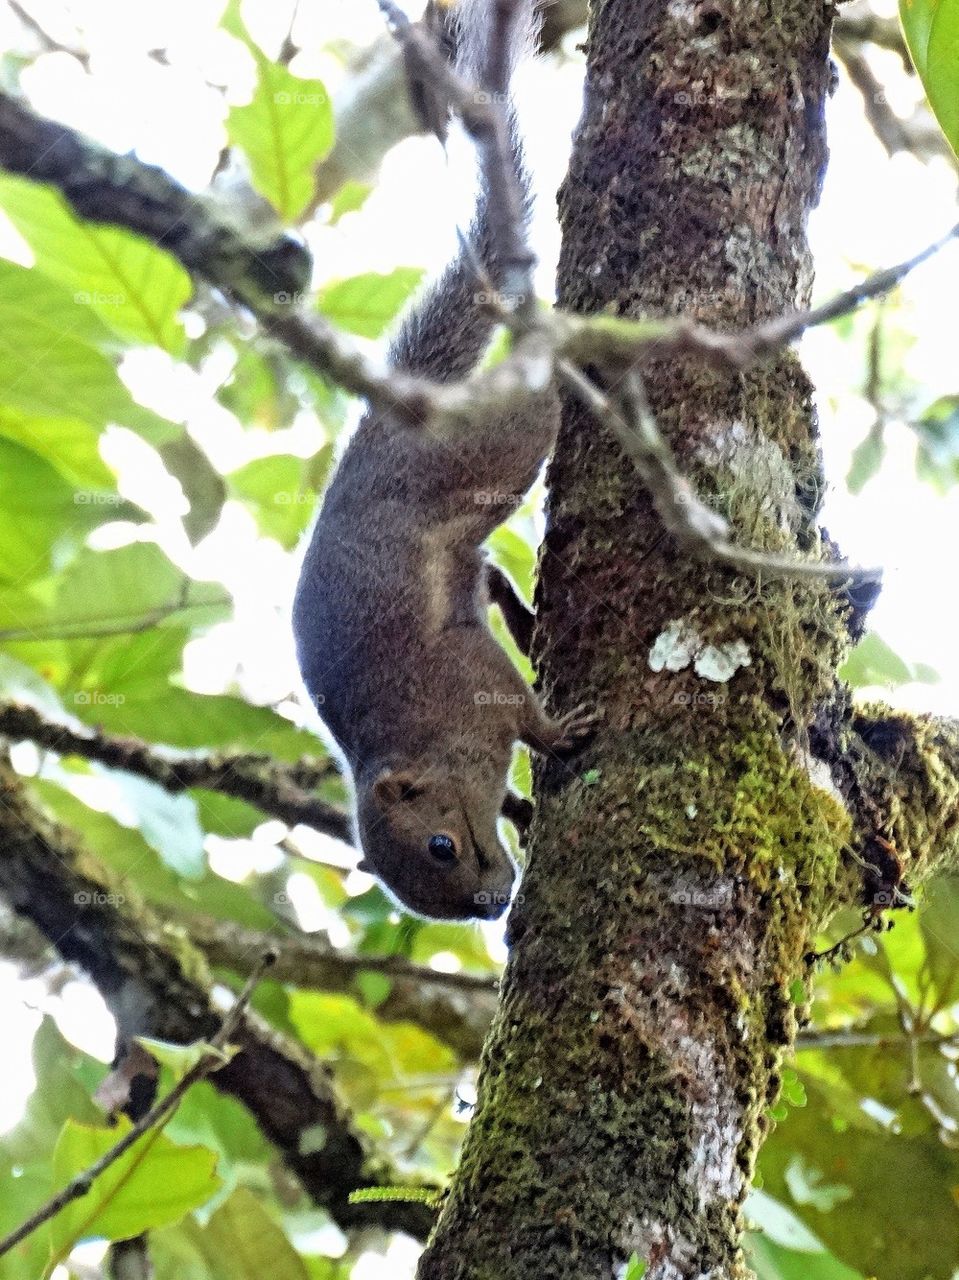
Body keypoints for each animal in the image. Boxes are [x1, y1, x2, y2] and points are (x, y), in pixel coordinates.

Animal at [292, 0, 595, 922]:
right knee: (485, 572)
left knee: (535, 411)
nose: (492, 905)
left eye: (440, 844)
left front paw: (559, 732)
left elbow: (525, 719)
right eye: (428, 896)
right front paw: (525, 806)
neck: (420, 738)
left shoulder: (467, 680)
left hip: (489, 449)